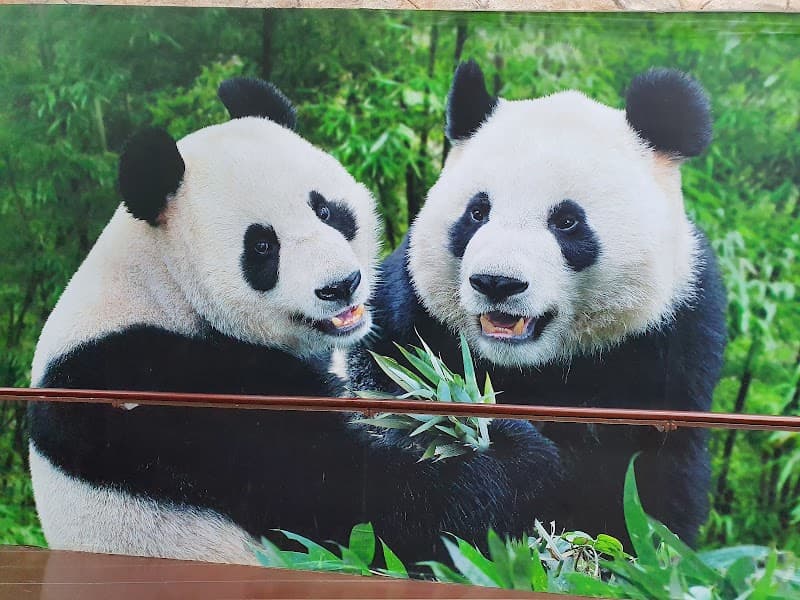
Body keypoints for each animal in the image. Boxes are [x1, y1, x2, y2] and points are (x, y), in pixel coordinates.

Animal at [27, 77, 561, 566]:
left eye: (324, 210)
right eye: (263, 246)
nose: (341, 285)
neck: (162, 282)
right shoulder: (164, 387)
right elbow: (359, 499)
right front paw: (517, 452)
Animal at [349, 61, 727, 548]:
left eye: (566, 221)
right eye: (477, 212)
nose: (497, 282)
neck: (524, 367)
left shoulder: (668, 347)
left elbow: (645, 491)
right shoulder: (406, 323)